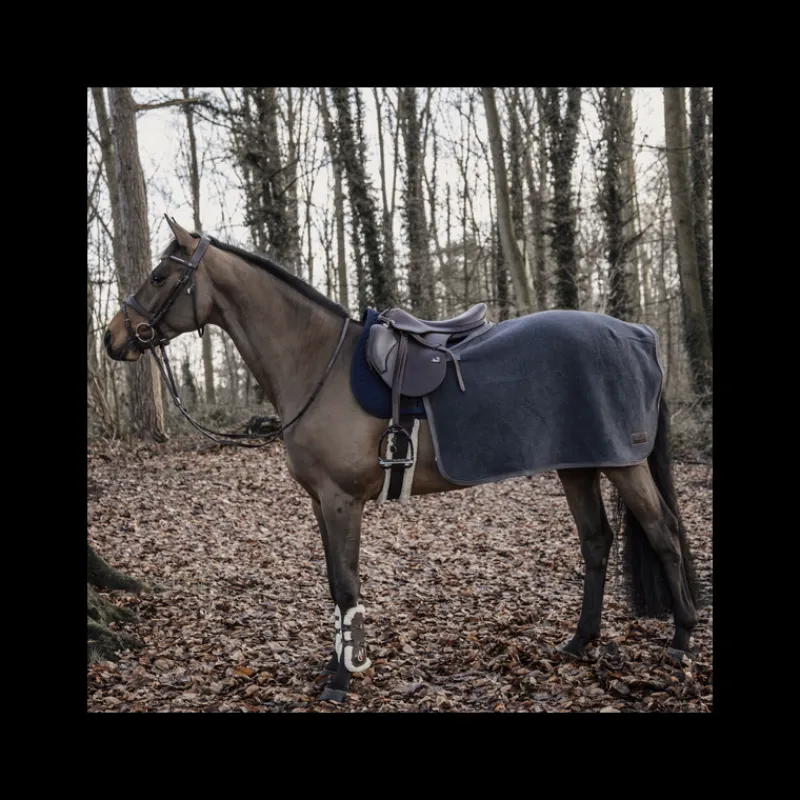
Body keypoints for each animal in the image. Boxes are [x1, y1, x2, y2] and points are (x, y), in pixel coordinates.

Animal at [103, 217, 700, 704]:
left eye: (159, 275)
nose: (111, 338)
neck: (318, 362)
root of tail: (638, 334)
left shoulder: (342, 500)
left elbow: (346, 584)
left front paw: (340, 681)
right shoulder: (321, 502)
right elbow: (335, 582)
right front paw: (342, 664)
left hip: (623, 463)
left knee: (665, 533)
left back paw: (682, 639)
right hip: (578, 463)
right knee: (597, 540)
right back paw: (580, 642)